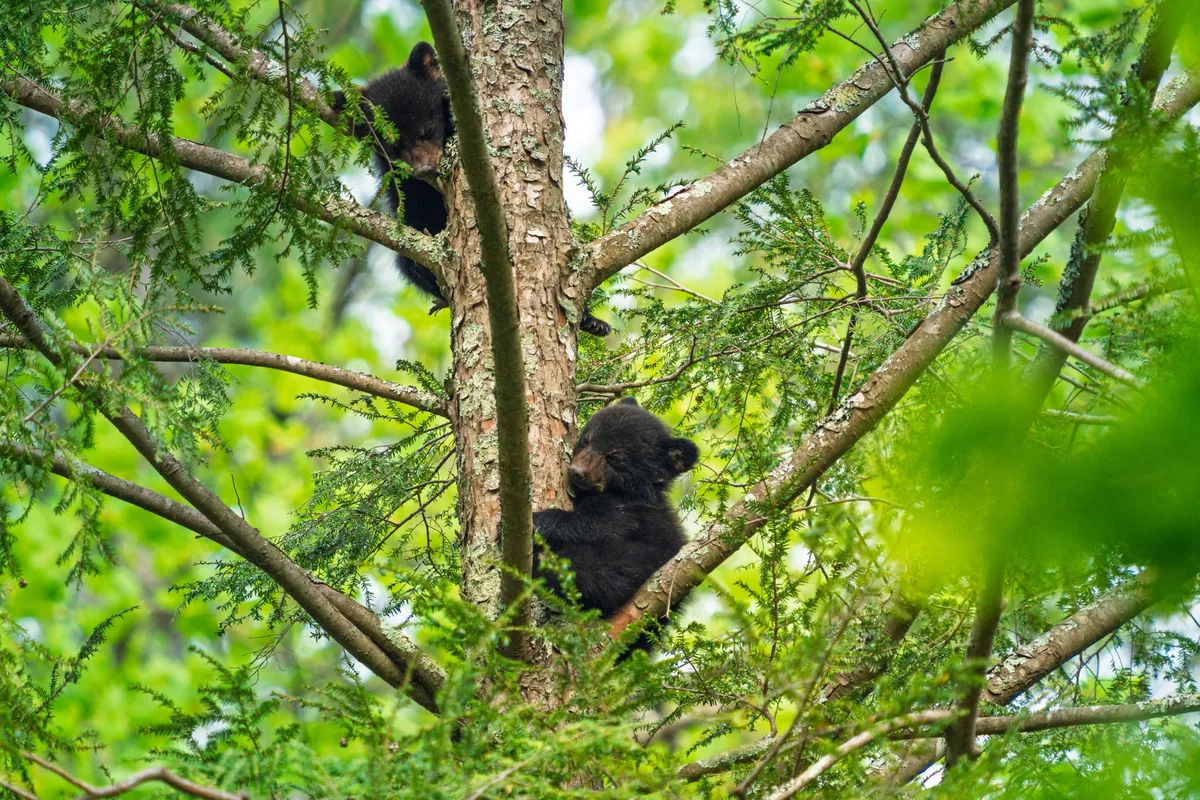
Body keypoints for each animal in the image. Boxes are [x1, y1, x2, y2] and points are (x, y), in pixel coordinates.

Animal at [334, 43, 611, 336]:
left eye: (426, 130)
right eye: (393, 146)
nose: (424, 170)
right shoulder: (406, 191)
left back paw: (592, 320)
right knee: (407, 263)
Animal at [534, 397, 698, 630]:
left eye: (614, 457)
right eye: (587, 440)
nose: (577, 472)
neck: (626, 491)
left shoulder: (628, 513)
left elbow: (594, 523)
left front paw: (539, 520)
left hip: (624, 562)